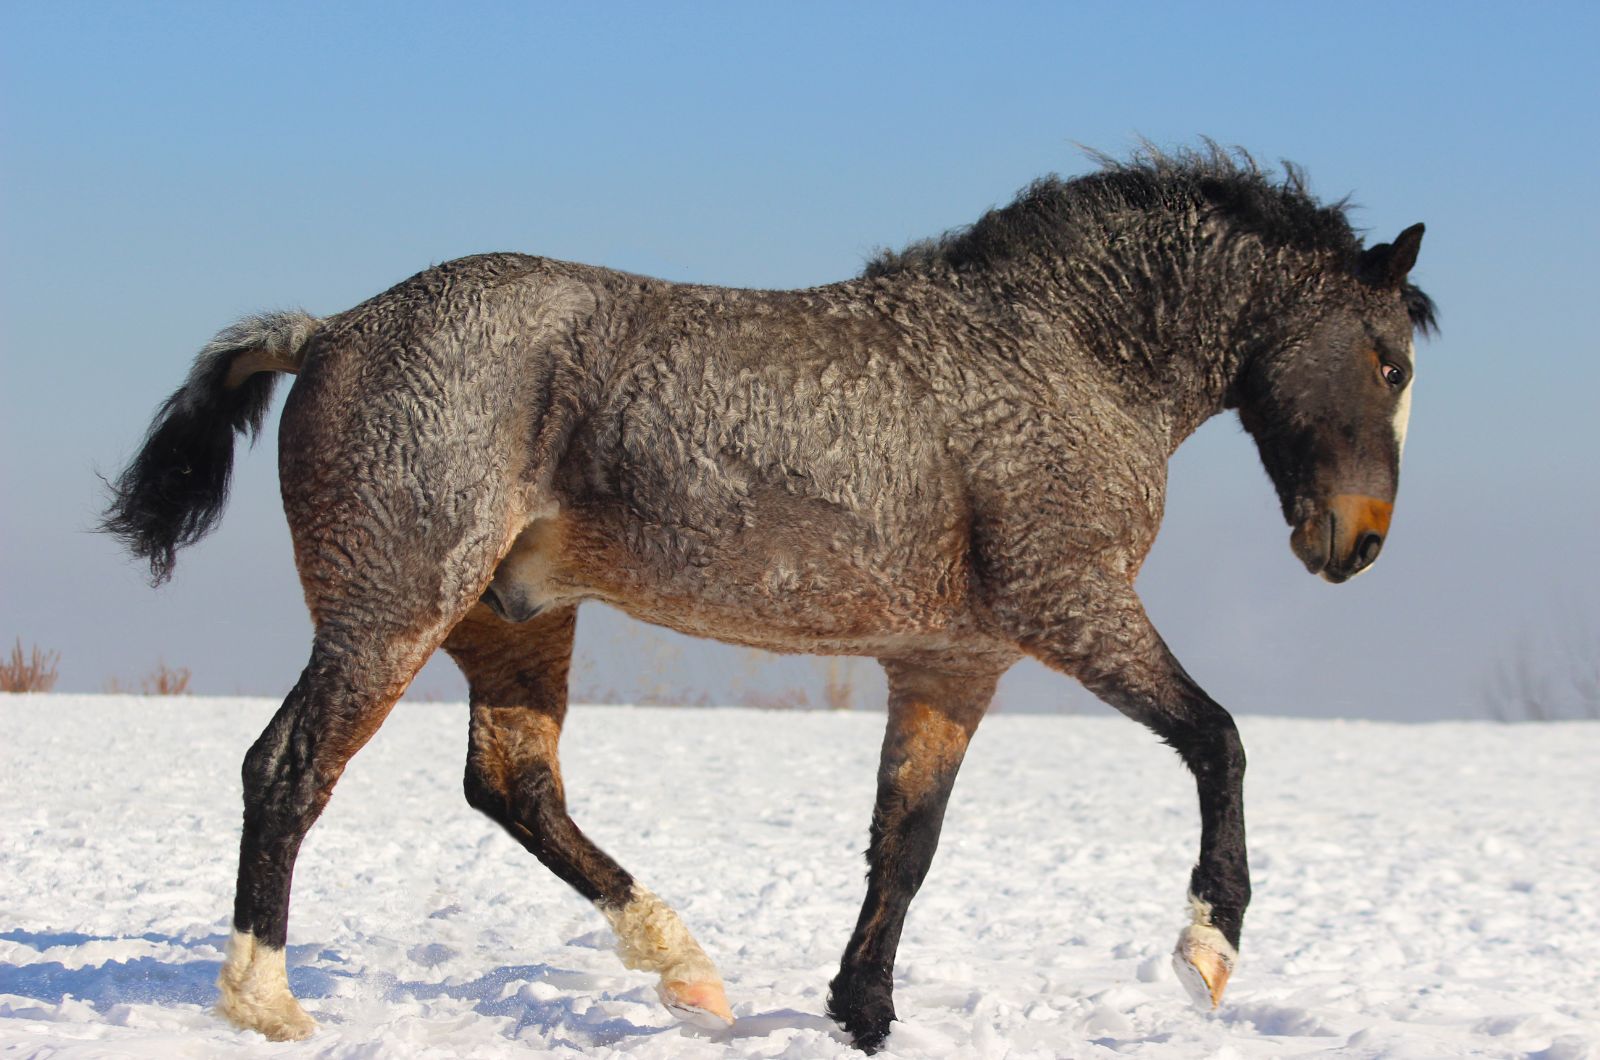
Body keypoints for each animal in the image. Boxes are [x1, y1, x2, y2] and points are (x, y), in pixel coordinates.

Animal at [103, 147, 1440, 1056]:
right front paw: (1208, 953)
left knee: (513, 785)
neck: (1061, 360)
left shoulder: (951, 665)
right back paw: (265, 1000)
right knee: (288, 768)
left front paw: (862, 1012)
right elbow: (1219, 739)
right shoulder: (1073, 607)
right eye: (1386, 361)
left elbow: (905, 843)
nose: (1361, 543)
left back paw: (684, 967)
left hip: (514, 617)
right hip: (394, 610)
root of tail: (327, 329)